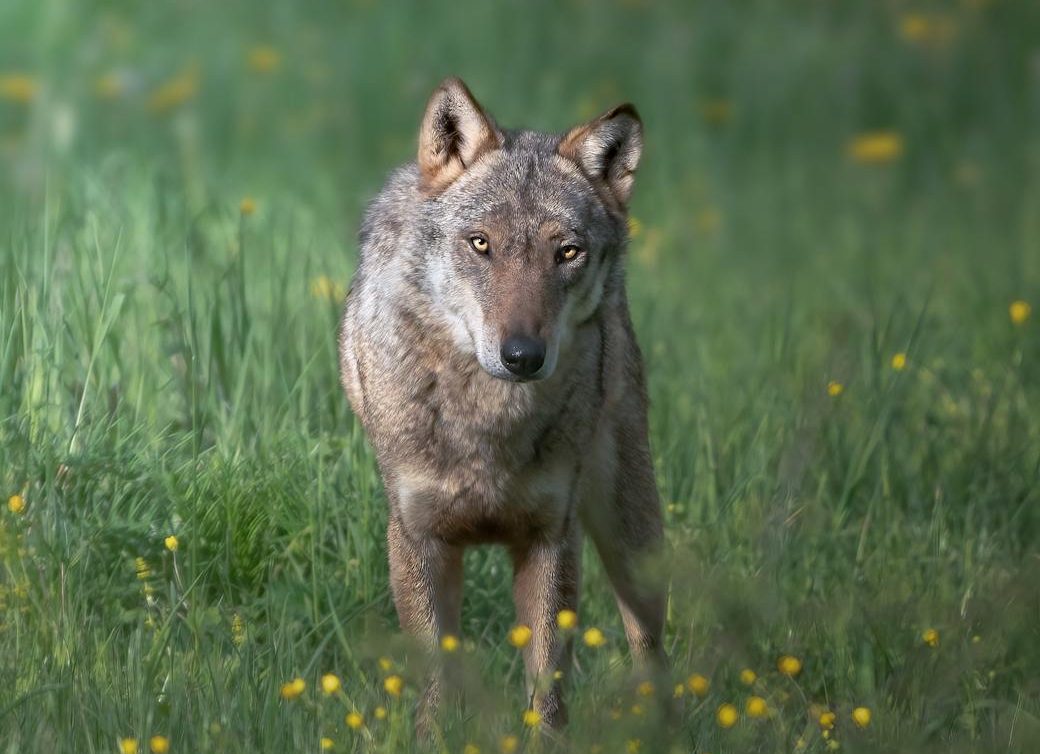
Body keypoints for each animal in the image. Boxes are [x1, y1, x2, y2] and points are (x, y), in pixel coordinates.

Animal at [338, 77, 666, 729]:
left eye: (567, 252)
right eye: (481, 244)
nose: (522, 356)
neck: (487, 426)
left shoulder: (552, 537)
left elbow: (548, 695)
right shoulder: (418, 538)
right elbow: (438, 684)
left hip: (631, 533)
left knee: (652, 648)